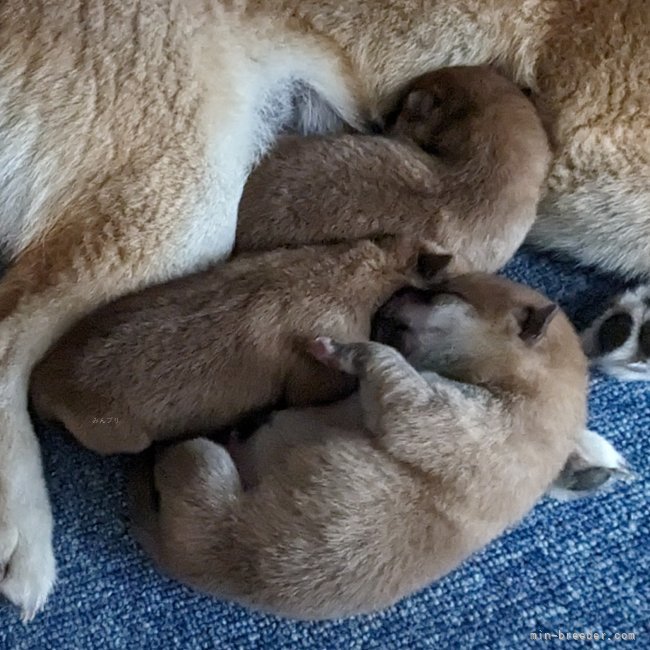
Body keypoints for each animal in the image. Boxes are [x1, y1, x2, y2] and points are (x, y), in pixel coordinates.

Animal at [126, 272, 624, 616]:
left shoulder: (423, 410)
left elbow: (381, 358)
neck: (522, 393)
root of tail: (174, 558)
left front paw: (338, 349)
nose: (401, 285)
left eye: (443, 295)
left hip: (200, 462)